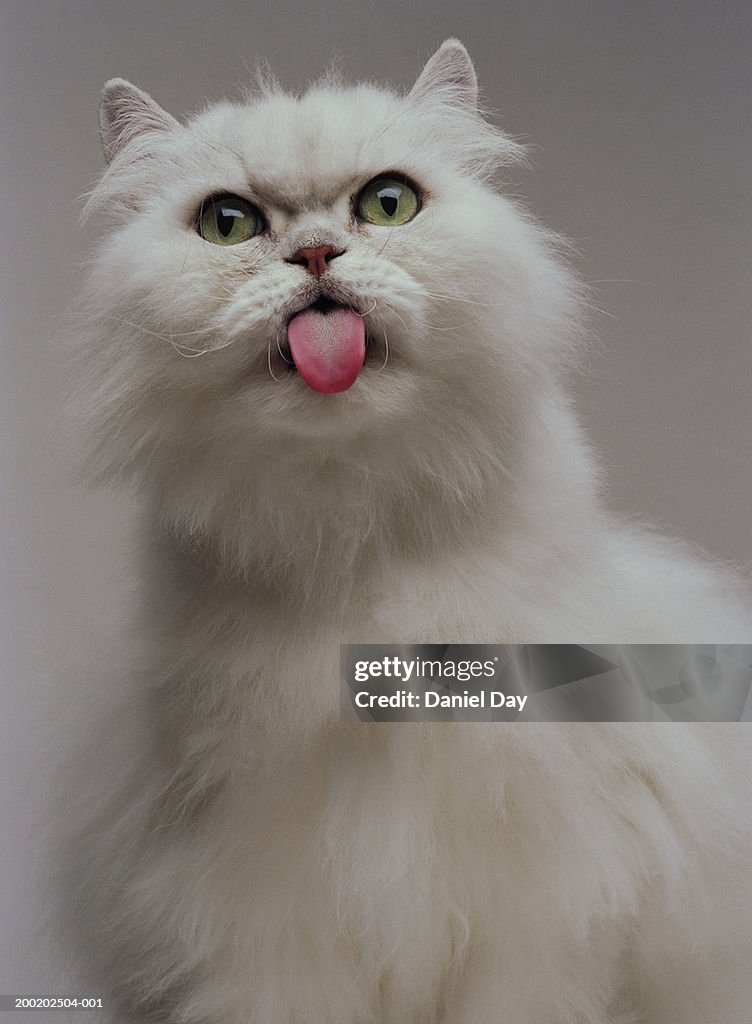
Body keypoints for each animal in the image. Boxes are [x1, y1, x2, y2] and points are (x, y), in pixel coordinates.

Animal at [67, 39, 752, 1024]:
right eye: (228, 224)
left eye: (388, 203)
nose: (316, 253)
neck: (353, 527)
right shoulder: (262, 918)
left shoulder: (538, 903)